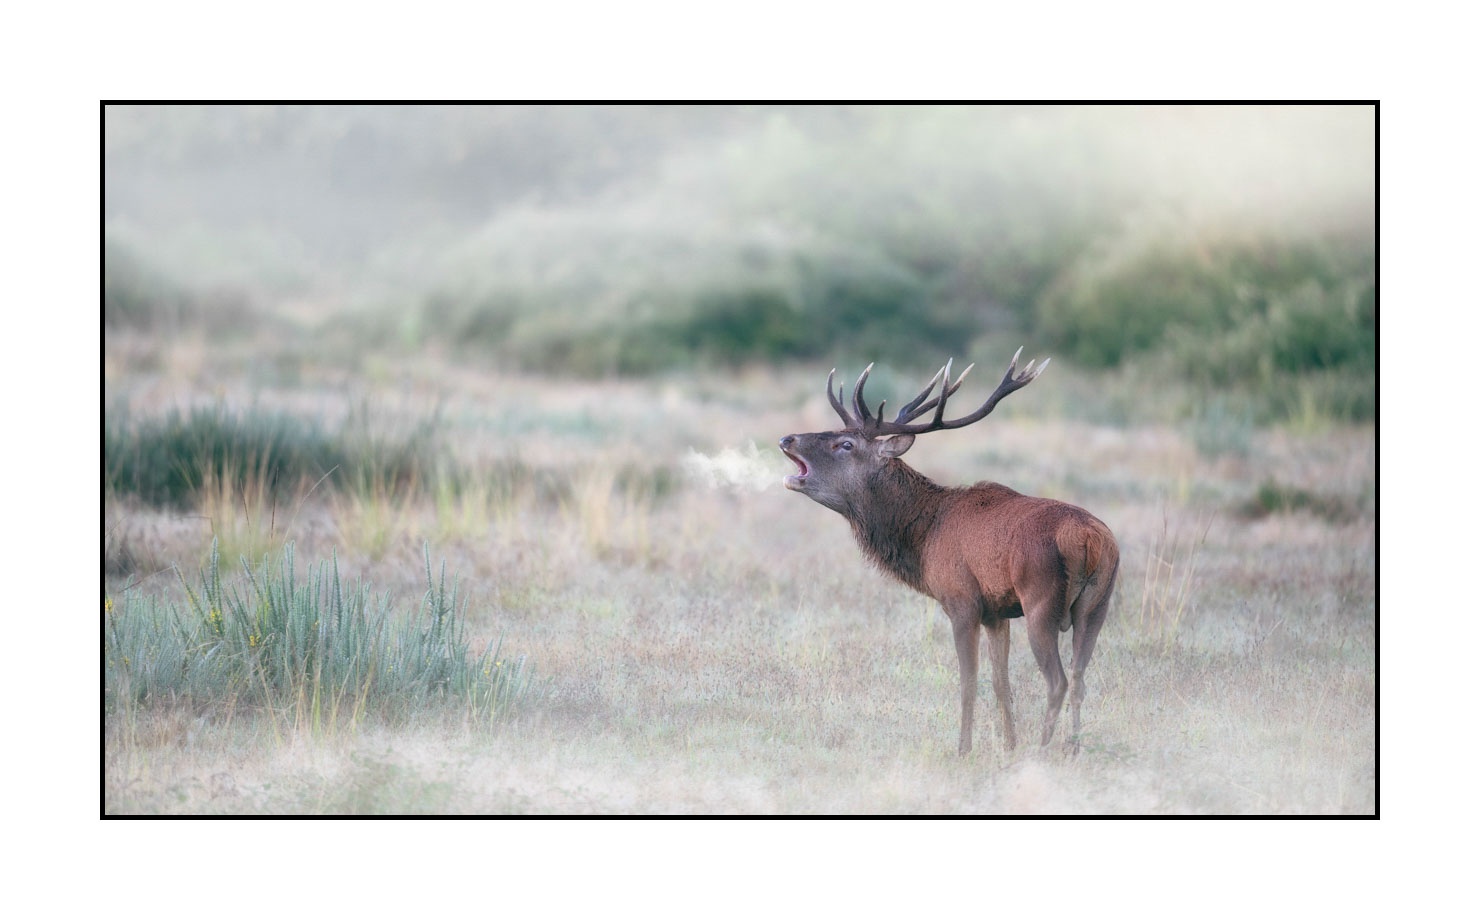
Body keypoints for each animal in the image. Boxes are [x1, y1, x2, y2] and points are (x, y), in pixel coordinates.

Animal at [779, 348, 1118, 756]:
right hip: (1098, 603)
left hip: (1041, 601)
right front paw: (1008, 746)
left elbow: (968, 683)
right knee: (1081, 678)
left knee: (1059, 681)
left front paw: (964, 749)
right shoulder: (997, 612)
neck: (924, 538)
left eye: (846, 445)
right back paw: (1073, 747)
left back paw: (1042, 748)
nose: (787, 438)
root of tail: (1088, 538)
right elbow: (1001, 683)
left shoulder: (961, 601)